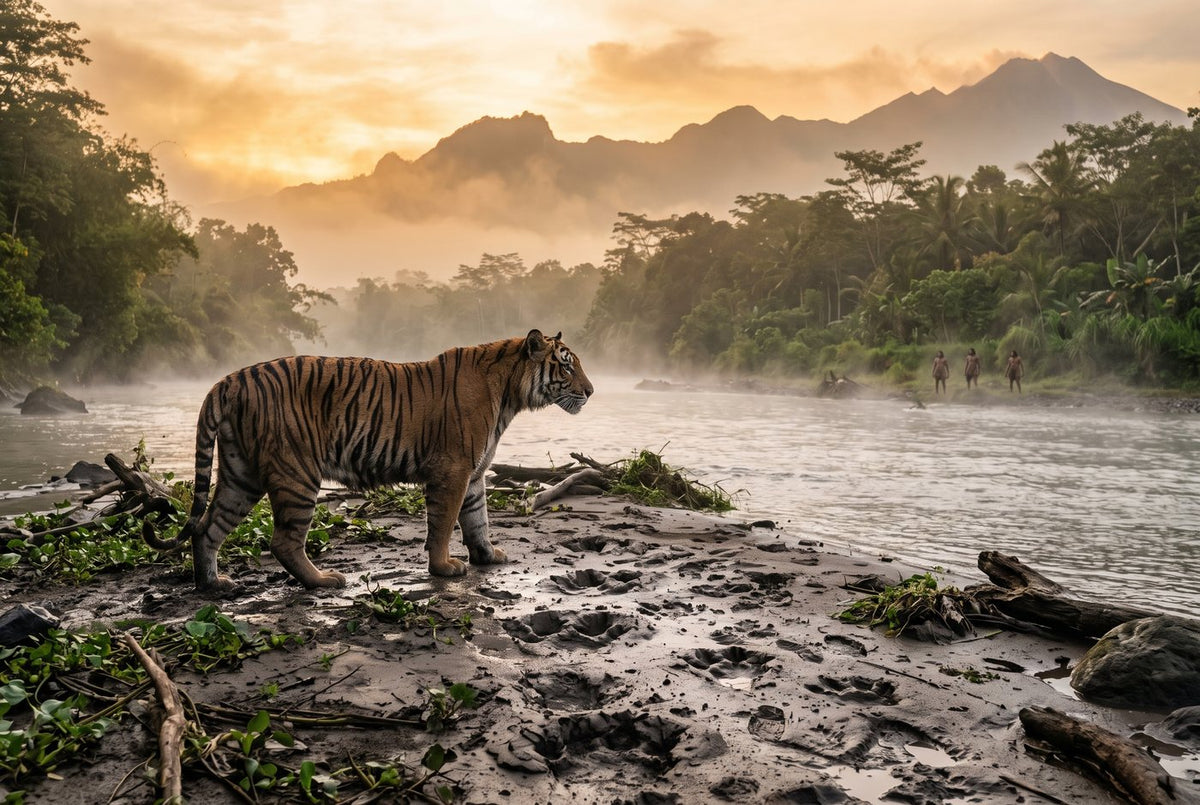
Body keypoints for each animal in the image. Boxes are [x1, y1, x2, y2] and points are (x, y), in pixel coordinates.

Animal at [144, 329, 593, 591]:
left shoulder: (475, 472)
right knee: (283, 541)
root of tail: (228, 379)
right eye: (567, 366)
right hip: (296, 474)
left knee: (207, 529)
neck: (510, 394)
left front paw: (487, 556)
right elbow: (444, 523)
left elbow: (477, 519)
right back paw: (324, 580)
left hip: (241, 475)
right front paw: (444, 567)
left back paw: (213, 584)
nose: (590, 391)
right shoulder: (453, 471)